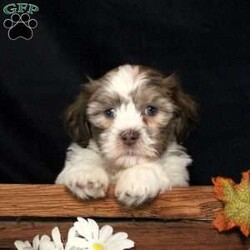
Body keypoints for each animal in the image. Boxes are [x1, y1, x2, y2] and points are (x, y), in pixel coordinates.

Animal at [56, 64, 197, 207]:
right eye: (109, 112)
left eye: (151, 110)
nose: (129, 136)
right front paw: (86, 172)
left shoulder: (177, 176)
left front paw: (138, 178)